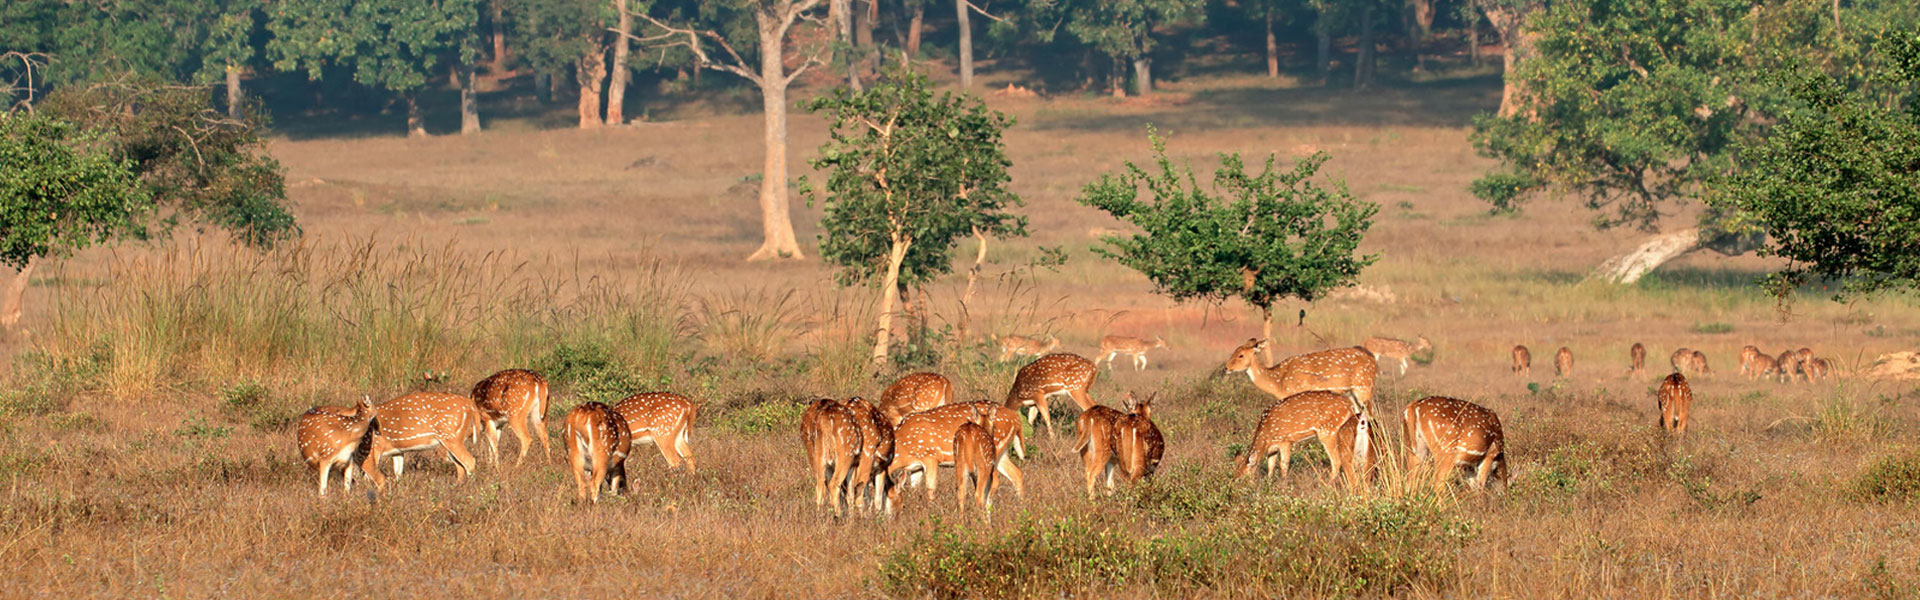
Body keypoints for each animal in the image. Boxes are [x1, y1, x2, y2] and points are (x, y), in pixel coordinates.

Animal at [890, 400, 1029, 511]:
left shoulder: (930, 456)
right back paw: (1020, 507)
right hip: (1002, 453)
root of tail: (1016, 418)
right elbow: (914, 488)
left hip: (993, 451)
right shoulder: (915, 467)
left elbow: (930, 489)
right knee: (1017, 474)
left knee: (995, 481)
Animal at [1221, 340, 1374, 415]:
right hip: (1350, 393)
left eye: (1241, 355)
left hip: (1364, 387)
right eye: (1234, 351)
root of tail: (1373, 361)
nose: (1226, 368)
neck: (1278, 383)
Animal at [1228, 388, 1367, 482]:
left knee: (1337, 461)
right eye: (1234, 476)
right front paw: (1269, 482)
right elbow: (1270, 465)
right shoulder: (1273, 448)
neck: (1267, 433)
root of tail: (1351, 406)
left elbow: (1283, 464)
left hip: (1328, 432)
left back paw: (1327, 484)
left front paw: (1283, 483)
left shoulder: (1285, 440)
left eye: (1241, 479)